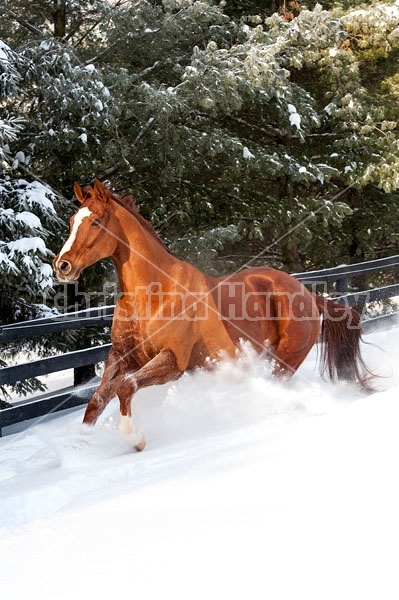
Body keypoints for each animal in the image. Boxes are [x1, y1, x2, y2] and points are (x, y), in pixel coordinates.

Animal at [53, 180, 372, 448]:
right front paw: (76, 451)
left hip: (284, 362)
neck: (154, 293)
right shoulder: (121, 357)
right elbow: (96, 402)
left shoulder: (173, 360)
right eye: (71, 221)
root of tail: (307, 293)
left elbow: (126, 388)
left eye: (96, 221)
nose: (62, 265)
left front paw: (136, 439)